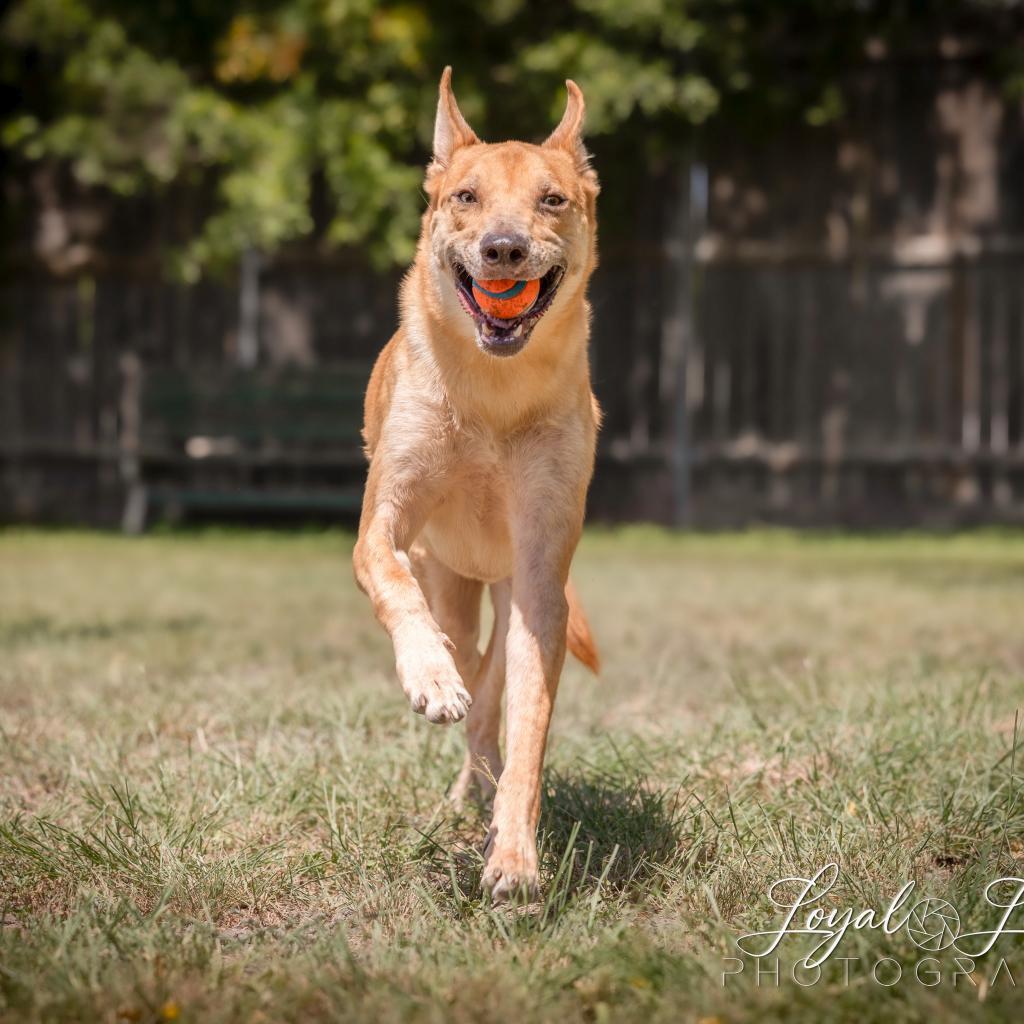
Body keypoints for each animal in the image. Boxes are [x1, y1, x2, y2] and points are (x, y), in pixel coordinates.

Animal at [356, 68, 602, 901]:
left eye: (551, 200)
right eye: (465, 195)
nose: (503, 248)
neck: (495, 393)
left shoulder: (541, 573)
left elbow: (529, 725)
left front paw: (516, 855)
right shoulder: (386, 520)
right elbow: (390, 575)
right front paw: (429, 679)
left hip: (508, 594)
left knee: (493, 705)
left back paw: (483, 795)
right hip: (455, 589)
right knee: (460, 651)